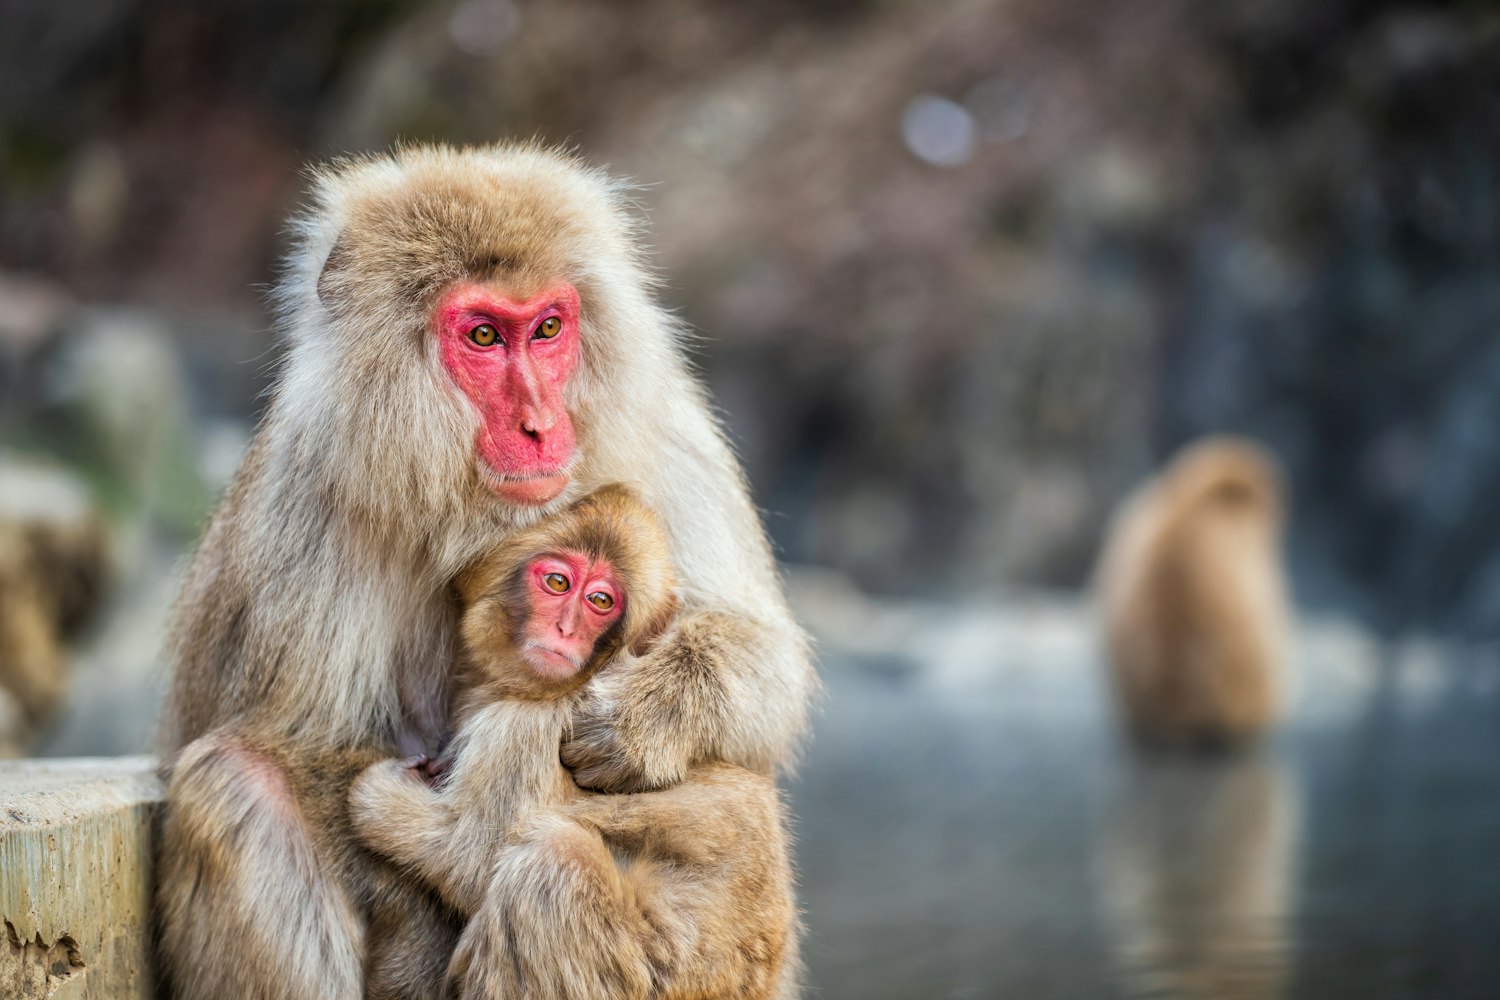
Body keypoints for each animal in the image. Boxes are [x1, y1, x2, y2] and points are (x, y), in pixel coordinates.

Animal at [350, 483, 797, 1000]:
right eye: (559, 583)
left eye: (600, 600)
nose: (563, 629)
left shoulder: (525, 728)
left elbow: (469, 857)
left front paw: (376, 794)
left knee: (552, 863)